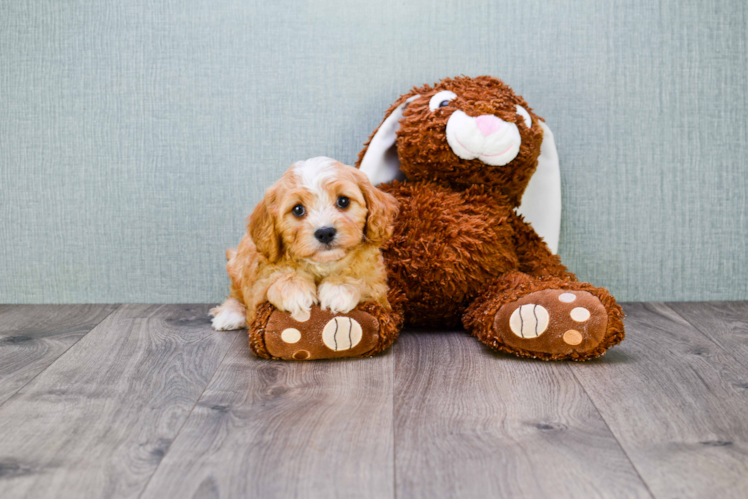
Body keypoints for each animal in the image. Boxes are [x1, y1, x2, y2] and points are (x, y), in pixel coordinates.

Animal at [207, 155, 400, 328]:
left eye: (343, 201)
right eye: (298, 210)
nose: (325, 232)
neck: (323, 263)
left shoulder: (379, 289)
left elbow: (364, 281)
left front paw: (340, 287)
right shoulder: (258, 279)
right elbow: (270, 279)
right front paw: (293, 287)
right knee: (235, 294)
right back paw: (229, 314)